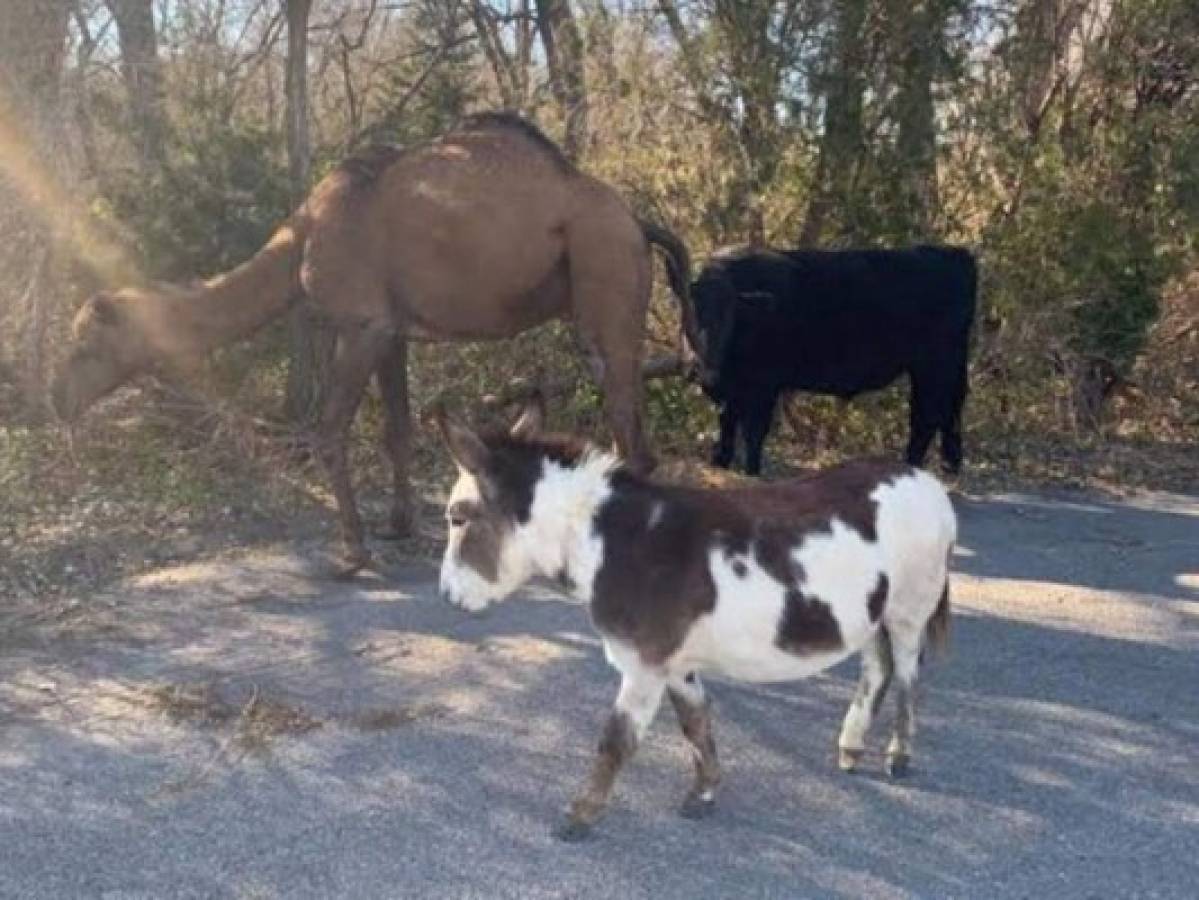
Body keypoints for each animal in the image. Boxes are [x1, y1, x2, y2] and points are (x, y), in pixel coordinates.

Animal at [53, 114, 700, 577]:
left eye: (85, 345)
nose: (52, 399)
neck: (302, 240)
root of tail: (637, 222)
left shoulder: (360, 325)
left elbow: (328, 428)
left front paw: (353, 553)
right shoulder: (393, 331)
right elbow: (398, 427)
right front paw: (397, 526)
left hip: (603, 279)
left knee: (627, 428)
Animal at [695, 243, 973, 474]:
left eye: (730, 314)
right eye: (698, 311)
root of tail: (953, 253)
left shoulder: (764, 385)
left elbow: (753, 431)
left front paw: (750, 472)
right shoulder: (730, 389)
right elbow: (726, 423)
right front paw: (719, 462)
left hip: (935, 367)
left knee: (928, 417)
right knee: (943, 416)